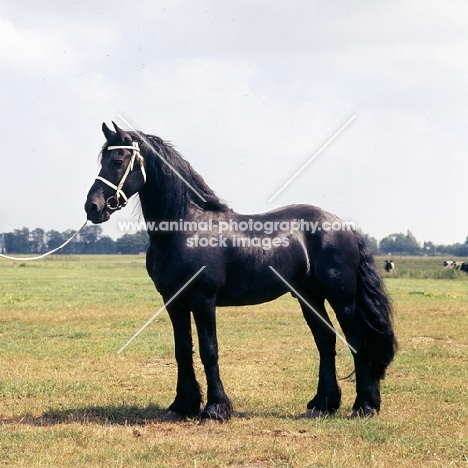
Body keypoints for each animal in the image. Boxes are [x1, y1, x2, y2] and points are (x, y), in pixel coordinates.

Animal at [84, 122, 394, 422]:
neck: (185, 227)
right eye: (102, 160)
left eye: (118, 160)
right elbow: (182, 350)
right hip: (309, 296)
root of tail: (344, 226)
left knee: (356, 340)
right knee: (325, 340)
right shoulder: (173, 302)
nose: (93, 207)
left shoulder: (203, 300)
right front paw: (181, 406)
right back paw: (322, 404)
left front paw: (214, 409)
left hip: (342, 298)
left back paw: (364, 406)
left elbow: (209, 351)